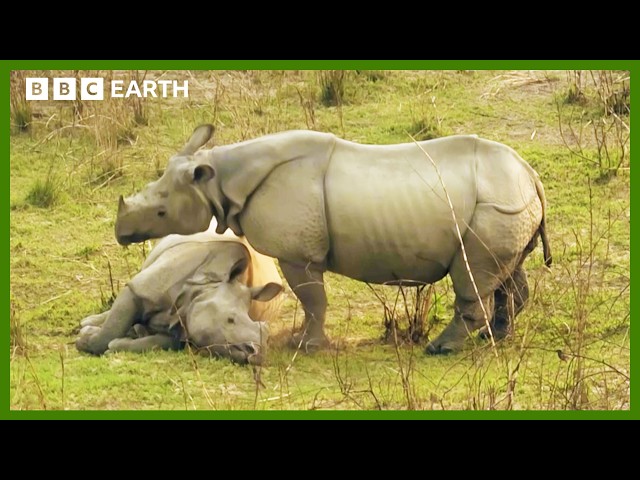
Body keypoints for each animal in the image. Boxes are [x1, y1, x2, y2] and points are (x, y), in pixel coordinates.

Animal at [75, 219, 282, 366]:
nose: (259, 354)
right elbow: (113, 326)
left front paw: (115, 346)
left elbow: (155, 342)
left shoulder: (182, 330)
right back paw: (88, 323)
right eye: (230, 320)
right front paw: (85, 339)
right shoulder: (140, 289)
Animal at [111, 125, 552, 354]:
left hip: (497, 204)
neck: (219, 179)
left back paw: (441, 349)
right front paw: (306, 342)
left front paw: (304, 346)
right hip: (507, 204)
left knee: (474, 275)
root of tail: (531, 175)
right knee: (505, 273)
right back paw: (496, 340)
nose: (121, 233)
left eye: (162, 213)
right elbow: (313, 300)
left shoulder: (297, 253)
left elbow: (313, 299)